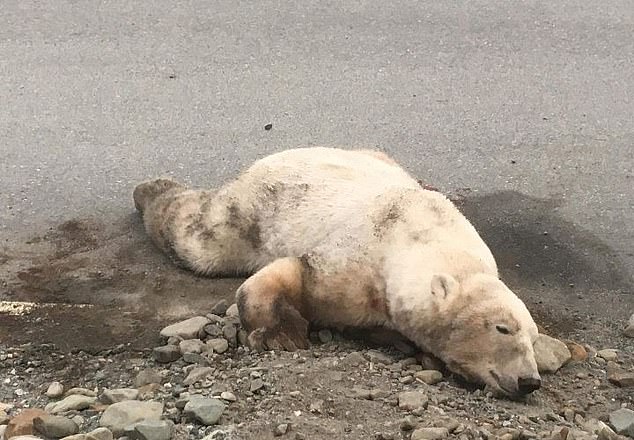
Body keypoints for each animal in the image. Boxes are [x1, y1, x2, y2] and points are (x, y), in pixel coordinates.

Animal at [133, 146, 540, 398]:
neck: (430, 239)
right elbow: (298, 273)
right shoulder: (364, 262)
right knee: (197, 236)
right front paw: (283, 334)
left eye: (533, 339)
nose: (529, 381)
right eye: (502, 328)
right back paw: (149, 189)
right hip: (246, 213)